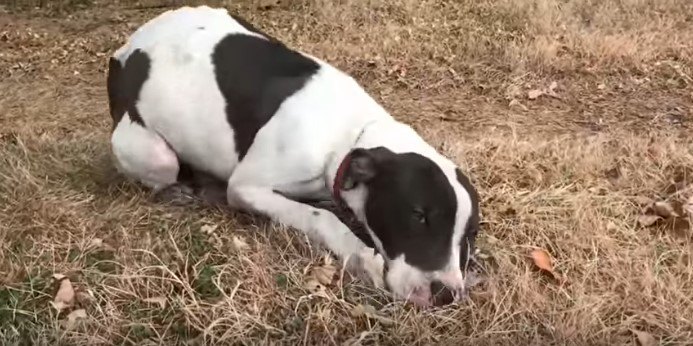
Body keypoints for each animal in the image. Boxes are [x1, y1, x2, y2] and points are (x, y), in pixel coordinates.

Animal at [105, 6, 478, 308]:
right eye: (419, 215)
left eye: (469, 235)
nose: (446, 294)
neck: (349, 133)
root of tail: (124, 50)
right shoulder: (247, 188)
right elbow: (320, 217)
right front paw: (359, 255)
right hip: (154, 153)